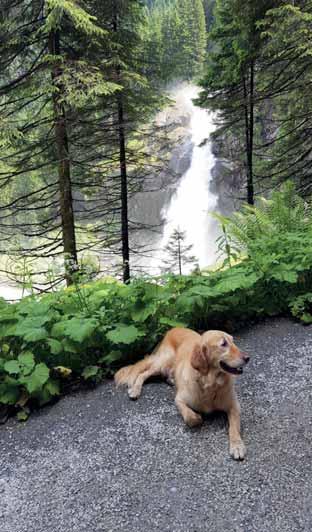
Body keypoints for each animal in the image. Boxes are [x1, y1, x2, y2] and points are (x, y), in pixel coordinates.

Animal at [116, 326, 250, 460]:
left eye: (233, 341)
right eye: (223, 344)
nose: (247, 358)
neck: (209, 384)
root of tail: (173, 329)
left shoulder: (234, 406)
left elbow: (234, 427)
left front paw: (237, 446)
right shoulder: (179, 399)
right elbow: (190, 417)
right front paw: (197, 418)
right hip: (163, 362)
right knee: (142, 374)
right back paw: (135, 389)